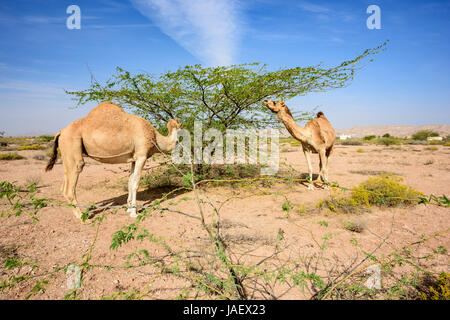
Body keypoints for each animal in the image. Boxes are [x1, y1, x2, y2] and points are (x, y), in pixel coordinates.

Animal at [44, 102, 181, 220]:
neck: (155, 137)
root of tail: (60, 132)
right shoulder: (142, 155)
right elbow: (135, 183)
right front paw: (134, 213)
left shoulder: (134, 158)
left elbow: (130, 181)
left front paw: (128, 208)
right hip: (71, 144)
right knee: (73, 179)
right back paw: (82, 217)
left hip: (66, 154)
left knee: (64, 184)